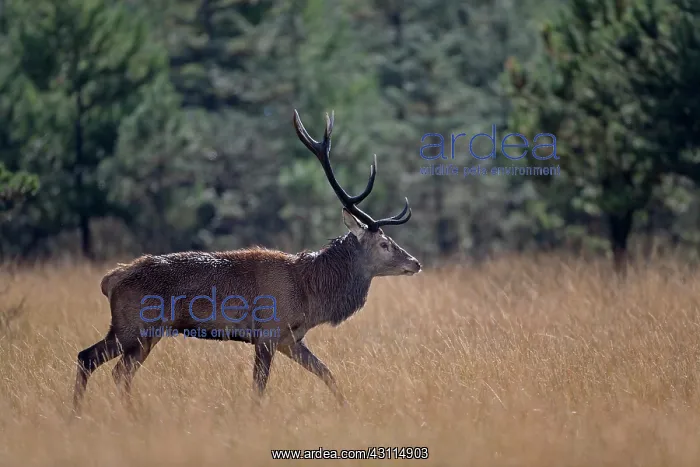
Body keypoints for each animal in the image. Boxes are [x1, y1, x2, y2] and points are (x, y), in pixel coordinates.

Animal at [72, 110, 421, 415]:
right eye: (385, 244)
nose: (415, 262)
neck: (311, 292)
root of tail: (110, 279)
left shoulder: (290, 339)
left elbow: (327, 373)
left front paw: (346, 408)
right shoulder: (267, 334)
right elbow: (259, 387)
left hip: (136, 332)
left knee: (104, 365)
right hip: (136, 327)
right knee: (101, 363)